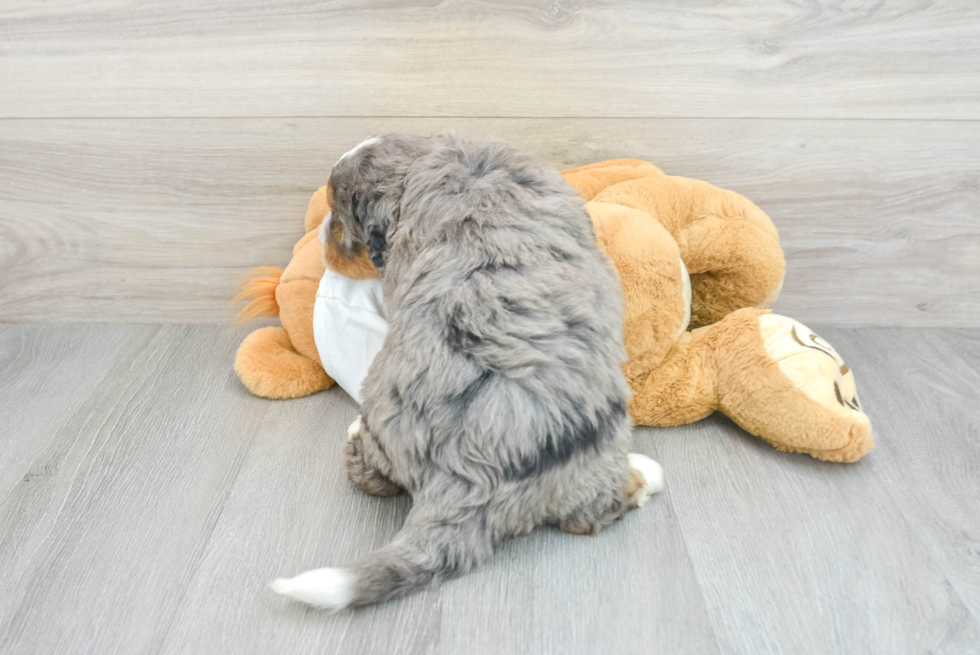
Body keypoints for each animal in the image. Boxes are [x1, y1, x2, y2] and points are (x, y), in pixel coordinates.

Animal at [272, 133, 664, 608]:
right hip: (595, 453)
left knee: (369, 474)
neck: (423, 159)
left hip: (384, 417)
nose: (320, 238)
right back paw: (644, 475)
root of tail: (472, 472)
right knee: (591, 515)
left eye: (344, 220)